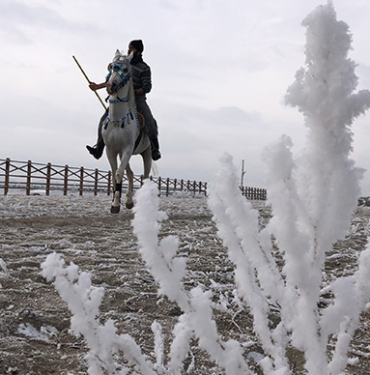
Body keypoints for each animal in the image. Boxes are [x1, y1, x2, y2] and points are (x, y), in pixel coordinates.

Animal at [102, 50, 152, 214]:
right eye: (110, 66)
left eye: (124, 70)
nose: (111, 85)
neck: (117, 121)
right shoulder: (112, 150)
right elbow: (115, 173)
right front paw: (115, 202)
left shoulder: (127, 149)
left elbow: (119, 173)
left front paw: (116, 205)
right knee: (130, 174)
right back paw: (129, 201)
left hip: (147, 154)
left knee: (145, 177)